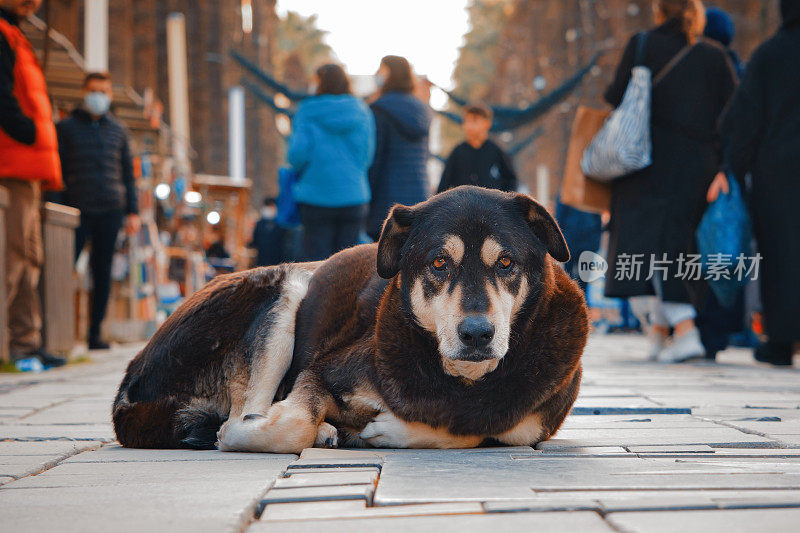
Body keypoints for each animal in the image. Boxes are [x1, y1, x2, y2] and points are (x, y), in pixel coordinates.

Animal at [112, 185, 588, 450]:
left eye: (506, 262)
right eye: (439, 264)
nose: (476, 334)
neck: (462, 381)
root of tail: (132, 371)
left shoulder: (526, 428)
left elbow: (473, 430)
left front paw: (389, 430)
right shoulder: (320, 371)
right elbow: (290, 425)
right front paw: (242, 437)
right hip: (288, 289)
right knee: (247, 409)